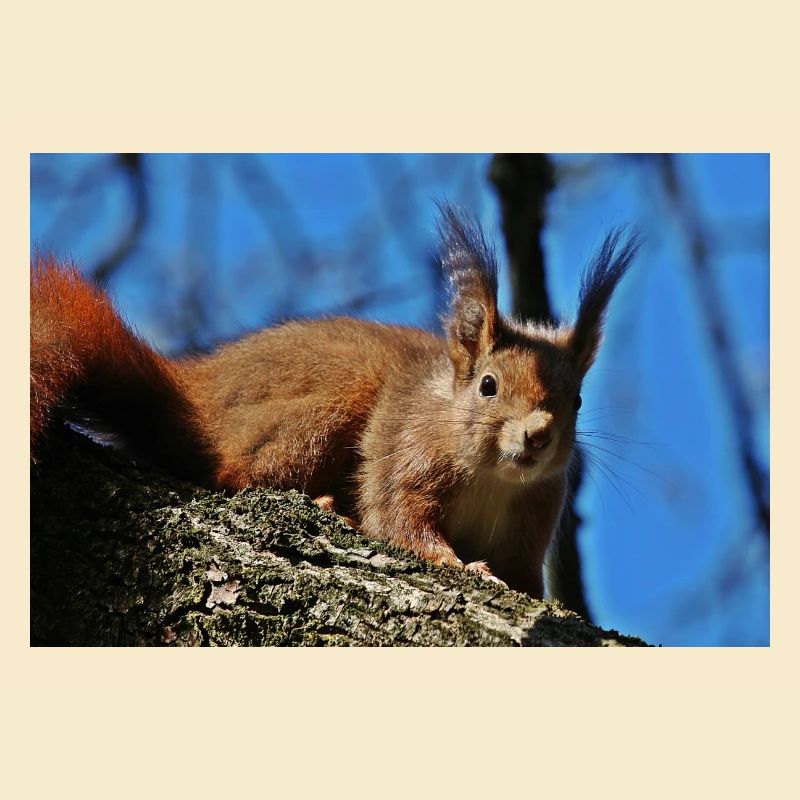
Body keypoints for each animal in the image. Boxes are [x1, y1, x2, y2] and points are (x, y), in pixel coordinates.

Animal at [30, 205, 639, 598]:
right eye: (488, 385)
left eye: (577, 400)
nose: (537, 434)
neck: (492, 476)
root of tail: (195, 392)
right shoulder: (405, 457)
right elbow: (400, 520)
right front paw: (457, 564)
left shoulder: (531, 523)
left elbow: (523, 578)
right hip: (327, 407)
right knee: (231, 473)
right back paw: (321, 503)